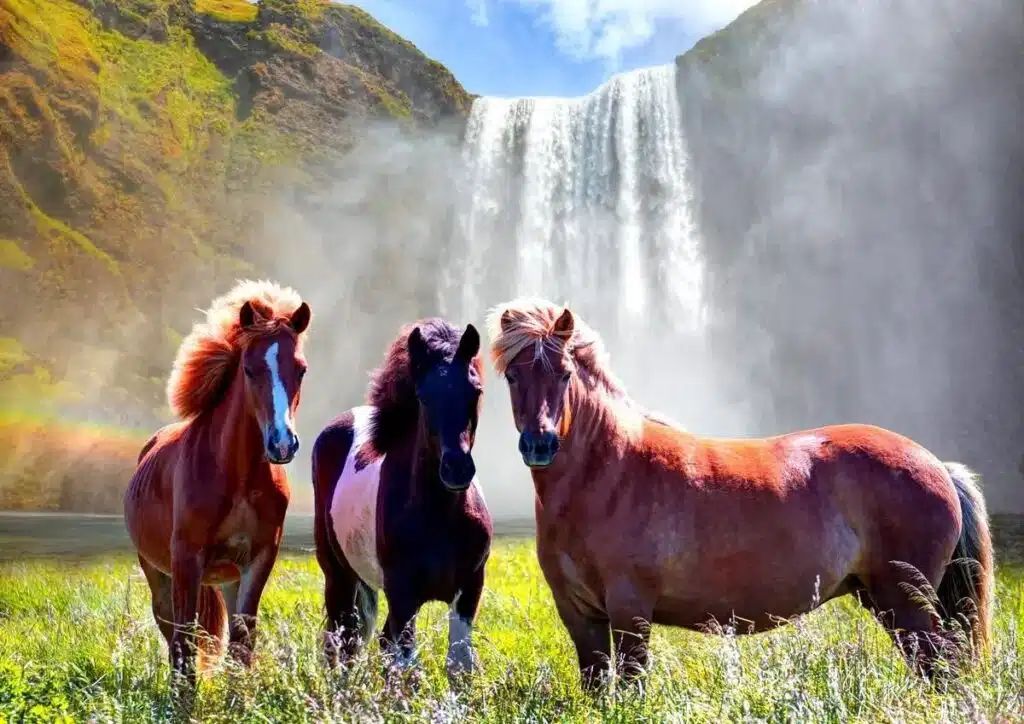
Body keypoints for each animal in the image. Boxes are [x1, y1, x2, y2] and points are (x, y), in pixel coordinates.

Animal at [123, 280, 309, 688]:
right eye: (249, 368)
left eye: (301, 369)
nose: (282, 444)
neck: (237, 475)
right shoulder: (185, 561)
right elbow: (185, 643)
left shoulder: (257, 560)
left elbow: (242, 643)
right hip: (158, 573)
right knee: (173, 636)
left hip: (227, 578)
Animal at [307, 319, 491, 688]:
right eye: (423, 397)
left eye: (475, 391)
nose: (457, 468)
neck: (439, 516)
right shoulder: (403, 593)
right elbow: (407, 669)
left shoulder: (469, 588)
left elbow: (459, 665)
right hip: (338, 576)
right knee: (340, 643)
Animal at [485, 299, 991, 692]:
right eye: (512, 376)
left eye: (564, 373)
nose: (539, 445)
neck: (608, 474)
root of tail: (937, 465)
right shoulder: (581, 615)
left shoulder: (630, 612)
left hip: (907, 605)